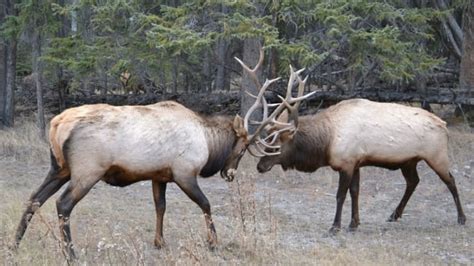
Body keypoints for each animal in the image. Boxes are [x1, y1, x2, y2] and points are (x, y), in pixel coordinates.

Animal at [12, 50, 314, 260]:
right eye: (240, 148)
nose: (230, 174)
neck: (207, 141)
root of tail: (57, 124)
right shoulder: (184, 172)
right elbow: (206, 205)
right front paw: (212, 243)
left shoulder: (159, 175)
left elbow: (160, 206)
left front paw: (160, 242)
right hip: (87, 170)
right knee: (62, 205)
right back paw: (71, 253)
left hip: (58, 167)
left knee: (33, 199)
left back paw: (15, 243)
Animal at [256, 97, 466, 233]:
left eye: (275, 146)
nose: (259, 166)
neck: (327, 142)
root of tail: (444, 126)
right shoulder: (356, 163)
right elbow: (355, 192)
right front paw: (354, 223)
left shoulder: (347, 164)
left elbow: (340, 195)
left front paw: (335, 226)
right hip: (409, 161)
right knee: (413, 181)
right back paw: (394, 214)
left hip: (437, 156)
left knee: (451, 181)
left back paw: (461, 218)